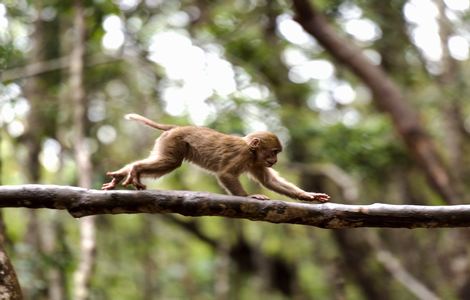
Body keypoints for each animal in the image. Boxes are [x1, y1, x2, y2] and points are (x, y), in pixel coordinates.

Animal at [103, 113, 330, 203]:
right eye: (274, 152)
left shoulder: (256, 162)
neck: (252, 152)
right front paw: (248, 196)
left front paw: (309, 196)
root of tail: (177, 127)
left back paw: (123, 173)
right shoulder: (243, 156)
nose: (275, 161)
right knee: (171, 162)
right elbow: (226, 174)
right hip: (174, 141)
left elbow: (269, 181)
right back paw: (135, 170)